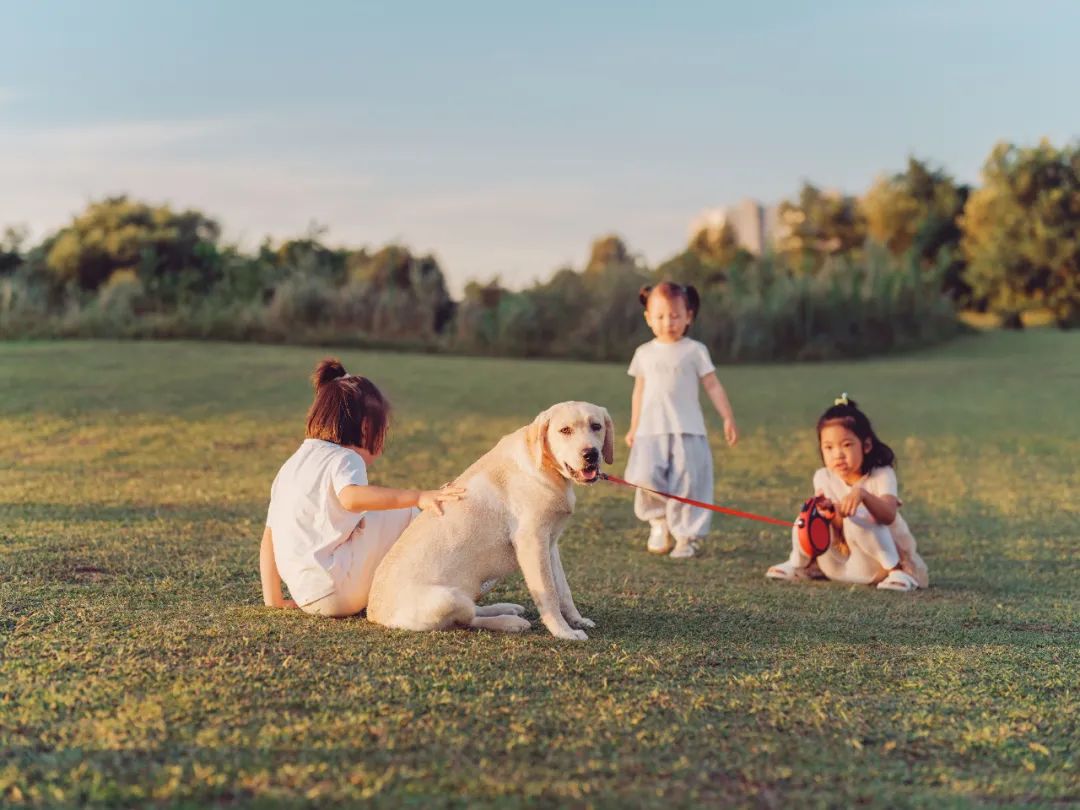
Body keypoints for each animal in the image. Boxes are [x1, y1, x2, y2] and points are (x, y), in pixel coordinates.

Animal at [367, 403, 613, 643]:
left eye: (596, 426)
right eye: (565, 430)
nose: (591, 454)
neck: (544, 467)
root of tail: (373, 613)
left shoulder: (550, 544)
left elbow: (563, 590)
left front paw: (577, 620)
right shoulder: (532, 543)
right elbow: (549, 593)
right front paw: (563, 632)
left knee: (473, 610)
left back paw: (505, 608)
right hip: (448, 598)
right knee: (468, 620)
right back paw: (509, 622)